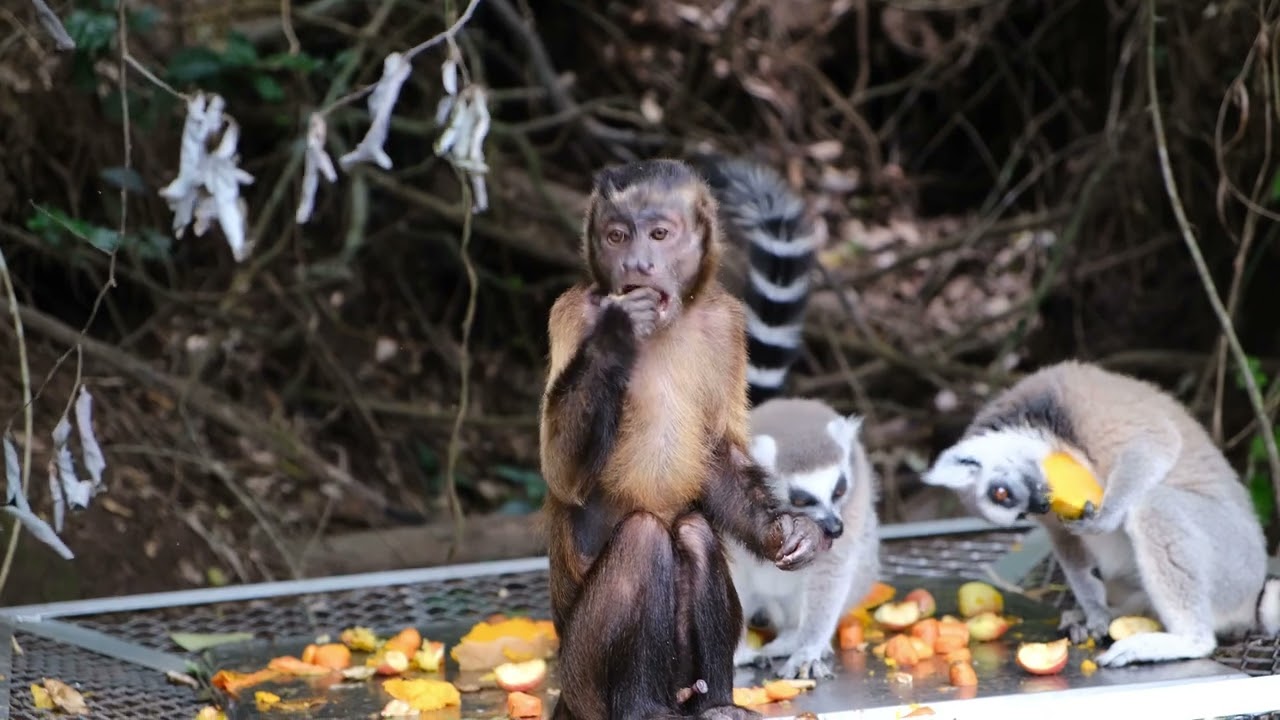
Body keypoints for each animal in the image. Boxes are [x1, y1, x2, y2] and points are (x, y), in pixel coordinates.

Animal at [538, 158, 832, 719]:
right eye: (617, 236)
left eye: (658, 234)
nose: (637, 262)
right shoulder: (571, 313)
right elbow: (563, 477)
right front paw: (615, 332)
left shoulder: (724, 322)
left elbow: (718, 458)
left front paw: (785, 529)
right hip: (582, 679)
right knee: (644, 537)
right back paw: (641, 706)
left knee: (693, 533)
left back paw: (715, 701)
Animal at [727, 398, 881, 680]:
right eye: (801, 500)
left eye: (840, 490)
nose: (834, 528)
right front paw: (737, 654)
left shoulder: (853, 502)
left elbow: (831, 568)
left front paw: (806, 651)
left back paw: (790, 640)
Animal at [920, 359, 1280, 667]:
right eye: (1020, 514)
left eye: (1001, 494)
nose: (1039, 505)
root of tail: (1250, 597)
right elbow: (1066, 539)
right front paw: (1095, 613)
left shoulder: (1087, 410)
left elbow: (1154, 443)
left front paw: (1106, 518)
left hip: (1231, 564)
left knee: (1156, 506)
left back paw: (1187, 641)